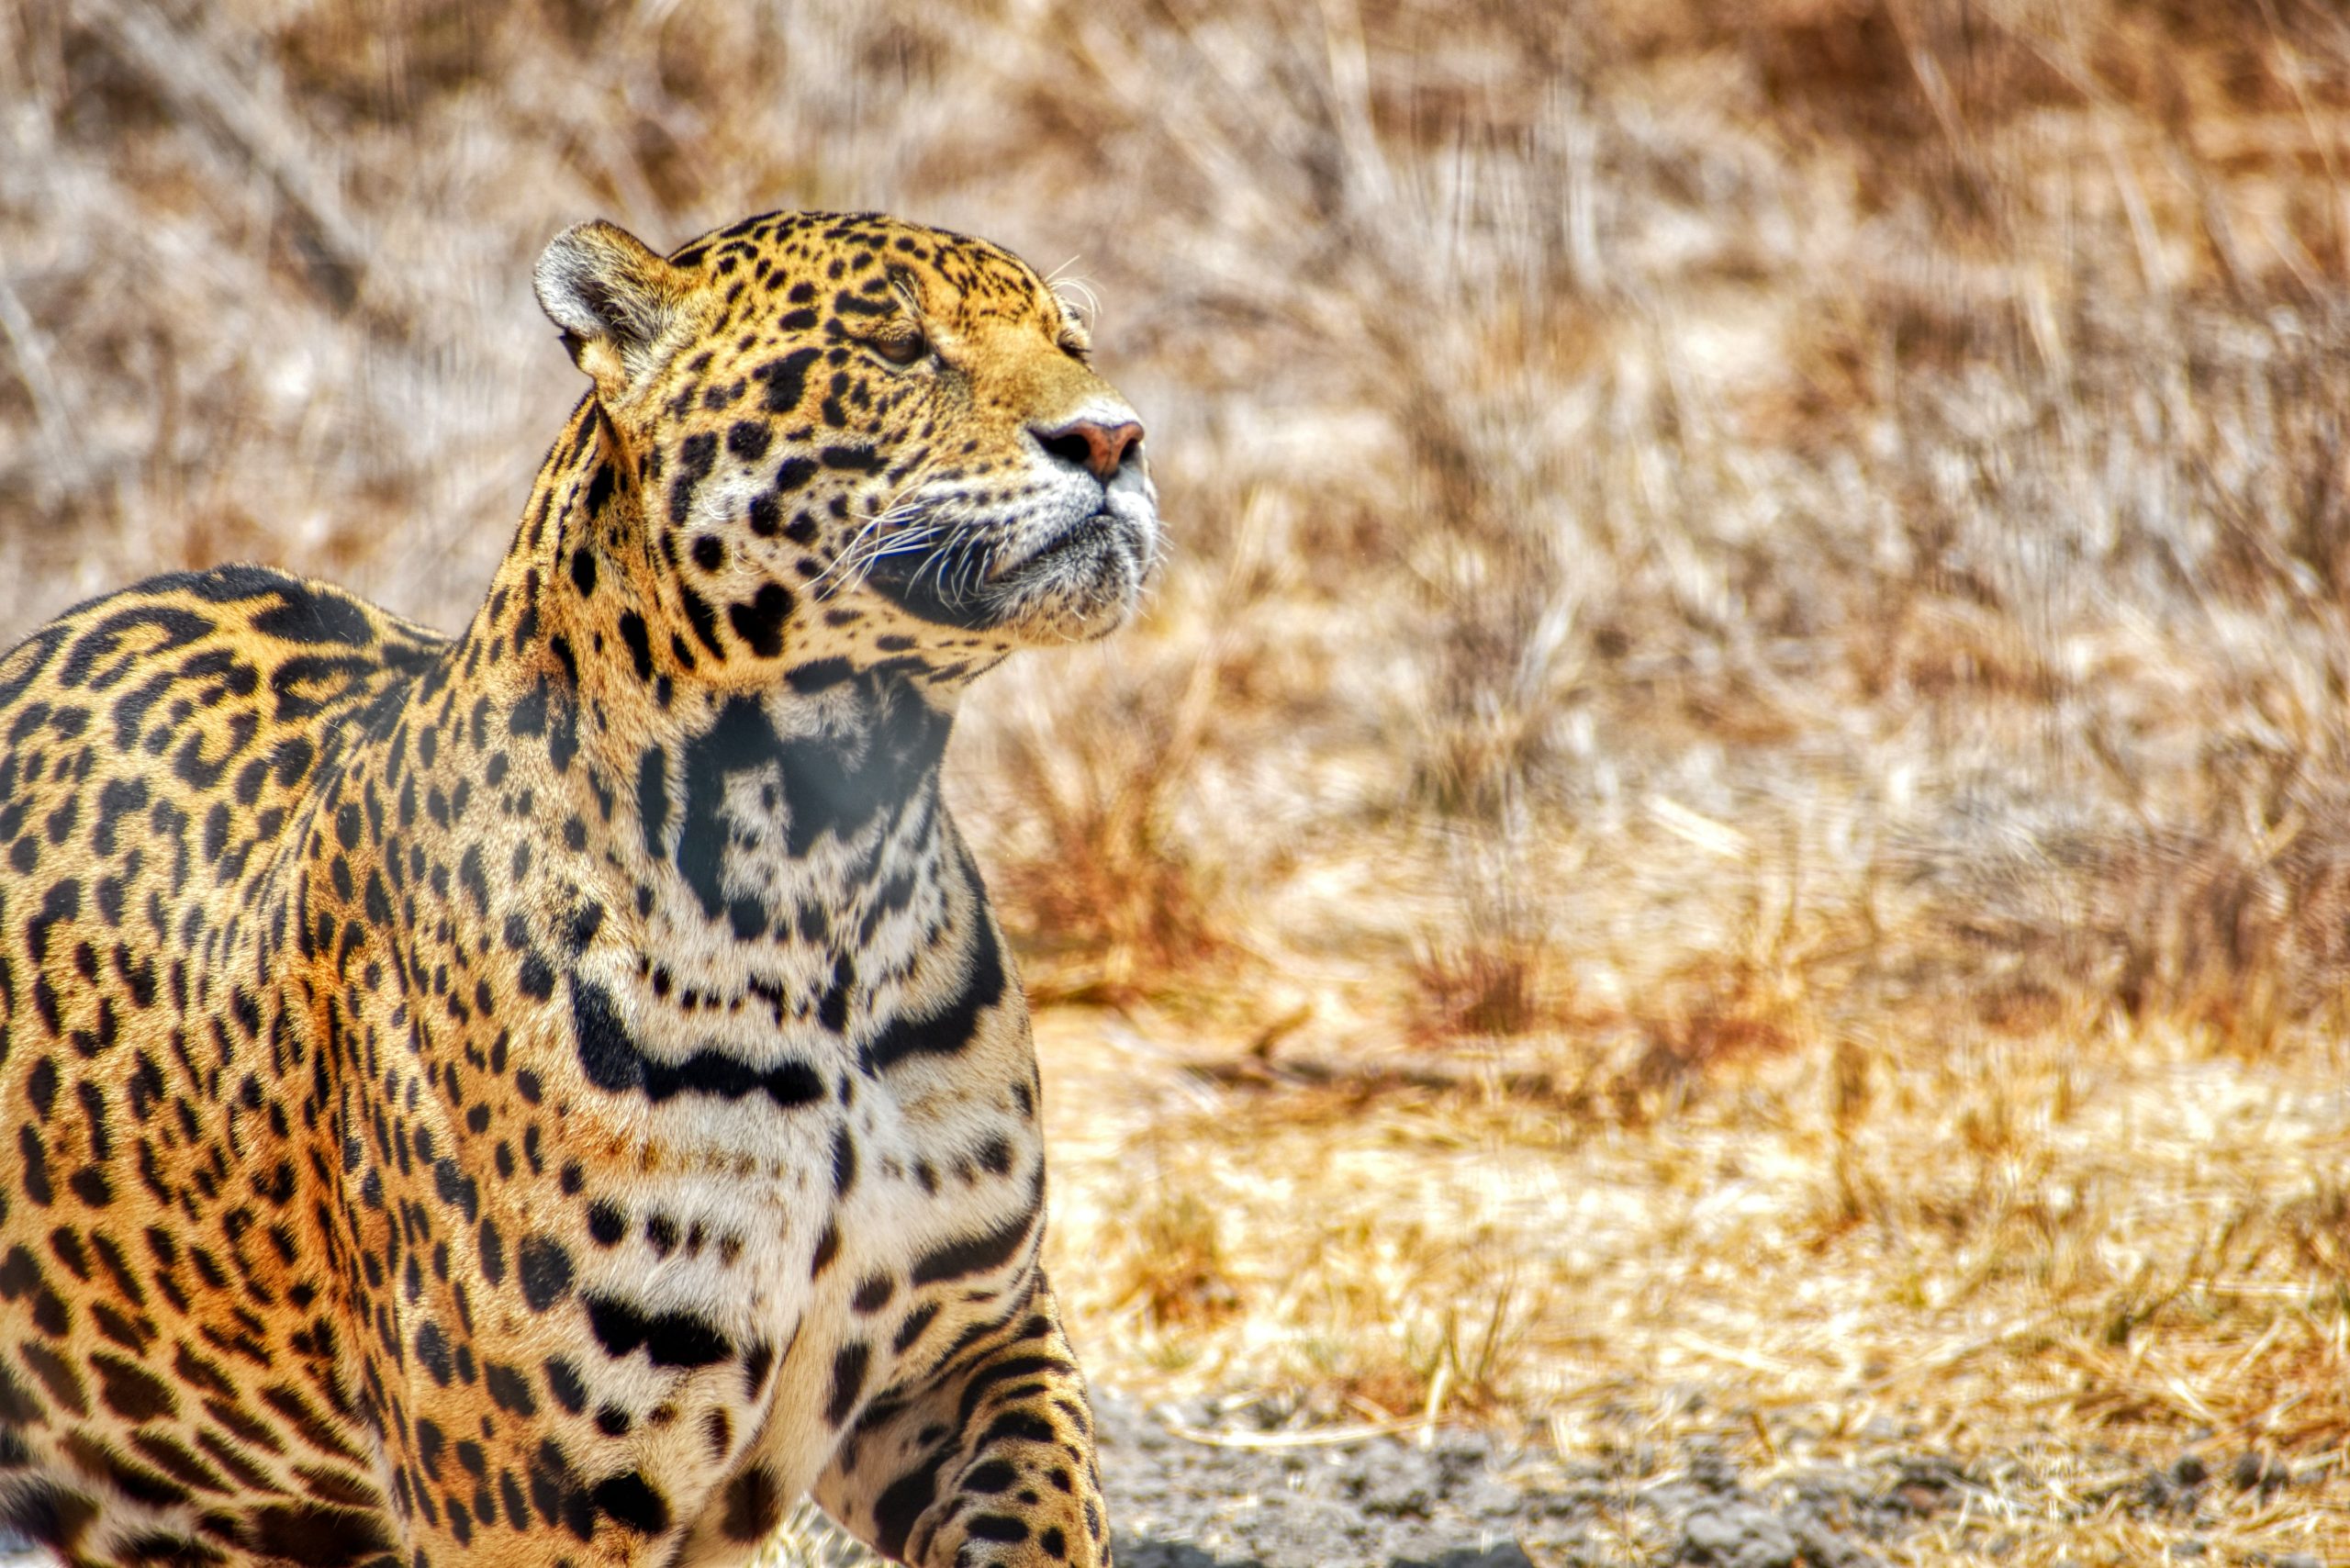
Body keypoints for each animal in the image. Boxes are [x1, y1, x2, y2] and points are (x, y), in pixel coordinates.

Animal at [0, 207, 1158, 1567]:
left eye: (1071, 340)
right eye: (894, 344)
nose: (1114, 437)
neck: (834, 859)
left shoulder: (973, 1342)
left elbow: (1044, 1501)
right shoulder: (533, 1495)